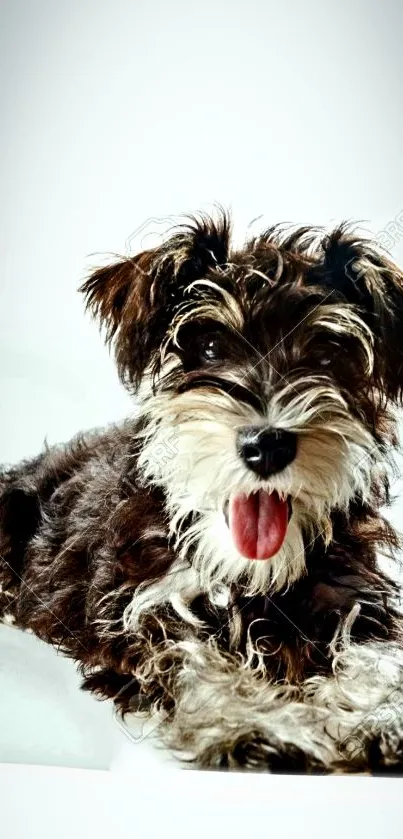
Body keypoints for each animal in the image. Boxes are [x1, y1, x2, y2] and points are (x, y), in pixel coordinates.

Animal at [0, 215, 403, 776]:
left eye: (326, 354)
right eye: (211, 348)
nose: (266, 444)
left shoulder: (353, 599)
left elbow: (379, 658)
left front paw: (378, 719)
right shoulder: (144, 611)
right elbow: (197, 667)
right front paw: (265, 728)